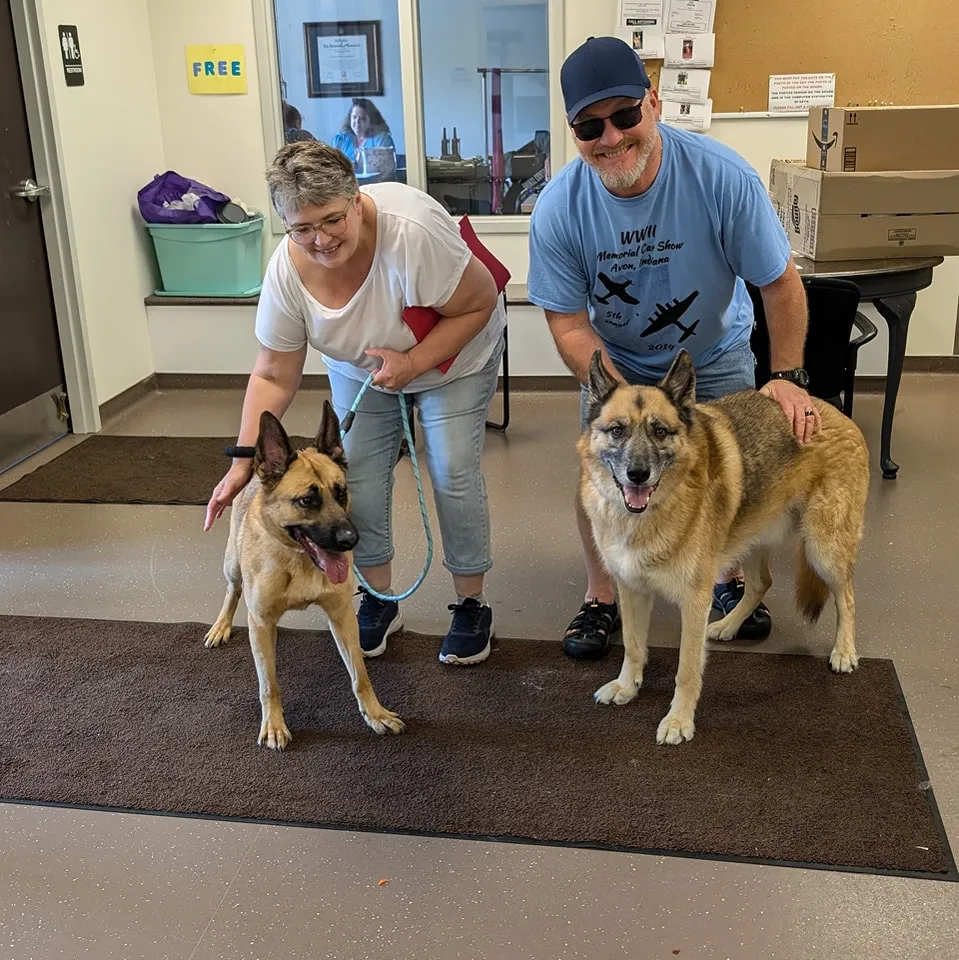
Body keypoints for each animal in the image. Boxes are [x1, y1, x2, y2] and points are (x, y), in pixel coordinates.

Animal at [205, 404, 404, 752]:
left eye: (342, 493)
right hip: (232, 564)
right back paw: (221, 625)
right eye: (307, 501)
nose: (351, 540)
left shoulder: (342, 617)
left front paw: (375, 713)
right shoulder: (261, 619)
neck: (298, 560)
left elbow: (360, 675)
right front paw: (274, 724)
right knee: (233, 590)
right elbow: (269, 684)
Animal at [576, 348, 872, 748]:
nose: (637, 474)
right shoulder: (632, 589)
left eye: (660, 431)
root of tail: (834, 412)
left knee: (847, 597)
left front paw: (679, 720)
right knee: (761, 583)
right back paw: (730, 625)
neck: (647, 514)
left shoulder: (694, 601)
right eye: (617, 430)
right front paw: (627, 686)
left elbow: (687, 669)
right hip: (749, 539)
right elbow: (634, 646)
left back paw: (844, 650)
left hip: (823, 549)